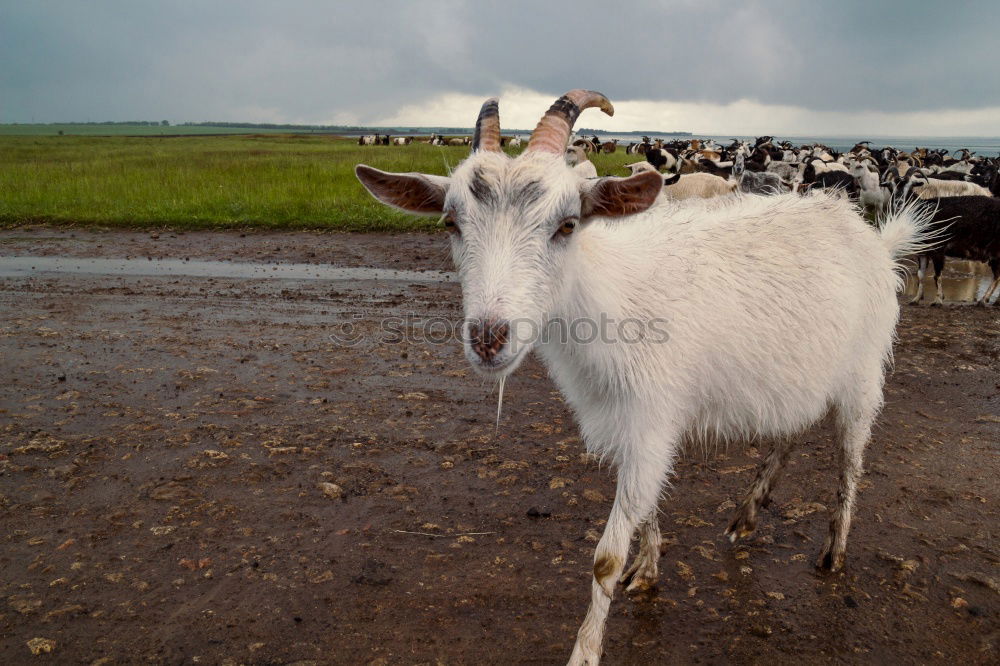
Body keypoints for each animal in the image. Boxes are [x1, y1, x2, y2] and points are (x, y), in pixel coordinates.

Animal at [356, 89, 932, 664]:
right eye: (450, 223)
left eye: (567, 224)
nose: (488, 339)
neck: (609, 297)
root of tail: (874, 240)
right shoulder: (627, 424)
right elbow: (648, 509)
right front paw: (649, 570)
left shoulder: (652, 421)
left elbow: (605, 557)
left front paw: (586, 650)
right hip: (803, 374)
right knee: (792, 431)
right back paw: (747, 513)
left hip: (862, 374)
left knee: (850, 463)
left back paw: (833, 552)